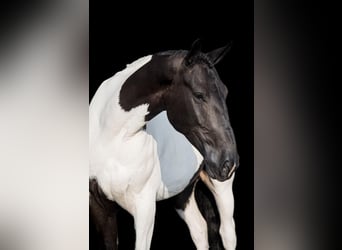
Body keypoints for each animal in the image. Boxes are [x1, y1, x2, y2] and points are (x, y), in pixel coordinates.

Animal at [89, 40, 238, 249]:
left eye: (225, 93)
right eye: (199, 94)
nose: (228, 162)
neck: (112, 138)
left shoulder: (144, 208)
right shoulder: (100, 207)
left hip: (221, 187)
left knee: (227, 233)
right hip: (184, 193)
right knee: (199, 230)